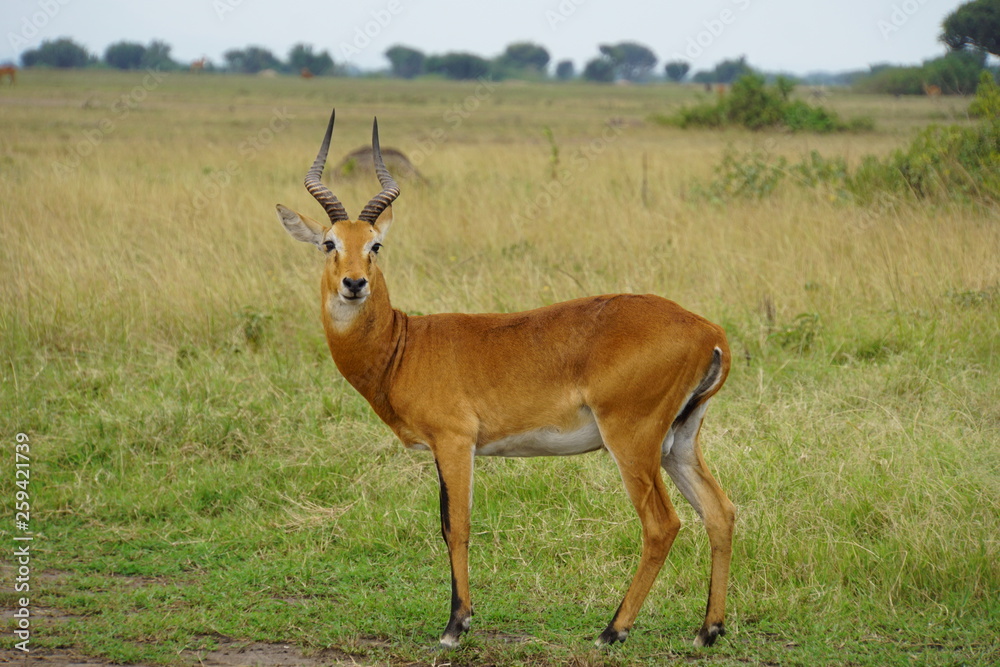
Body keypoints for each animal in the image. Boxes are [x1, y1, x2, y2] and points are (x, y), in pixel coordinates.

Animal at [276, 109, 736, 649]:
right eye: (330, 243)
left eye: (375, 245)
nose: (354, 283)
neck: (404, 345)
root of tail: (708, 330)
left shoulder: (455, 443)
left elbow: (455, 526)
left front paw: (456, 625)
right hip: (679, 442)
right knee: (720, 511)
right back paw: (708, 630)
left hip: (633, 442)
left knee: (663, 524)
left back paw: (612, 631)